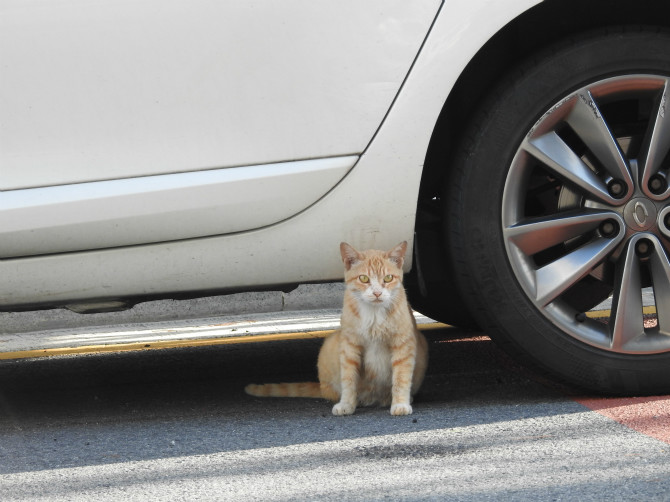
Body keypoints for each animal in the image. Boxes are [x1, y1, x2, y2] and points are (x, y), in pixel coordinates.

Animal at [247, 242, 430, 416]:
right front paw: (347, 404)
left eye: (388, 278)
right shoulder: (349, 346)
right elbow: (348, 379)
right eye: (364, 278)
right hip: (331, 344)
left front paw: (400, 404)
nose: (377, 293)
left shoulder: (403, 345)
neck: (374, 314)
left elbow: (401, 378)